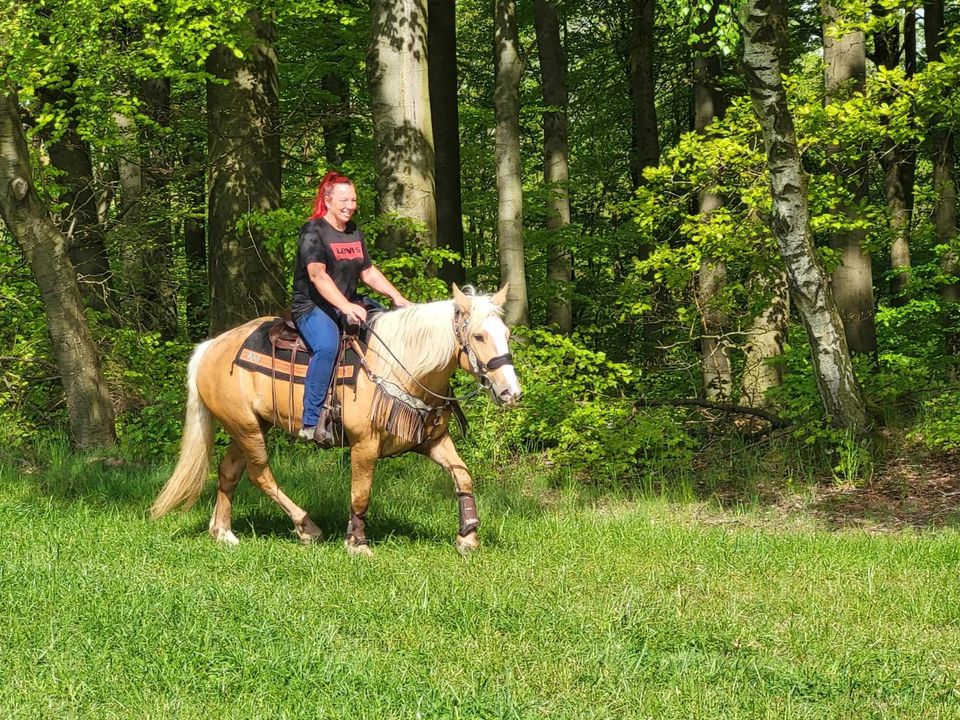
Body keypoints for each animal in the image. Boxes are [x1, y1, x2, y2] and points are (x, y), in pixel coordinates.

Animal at [150, 284, 520, 556]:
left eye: (505, 333)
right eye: (479, 336)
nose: (511, 392)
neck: (400, 366)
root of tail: (211, 347)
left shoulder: (432, 440)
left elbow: (463, 476)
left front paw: (468, 536)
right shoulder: (364, 446)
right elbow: (360, 494)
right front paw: (357, 543)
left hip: (250, 426)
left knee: (229, 472)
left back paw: (224, 532)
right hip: (246, 428)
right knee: (260, 475)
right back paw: (306, 527)